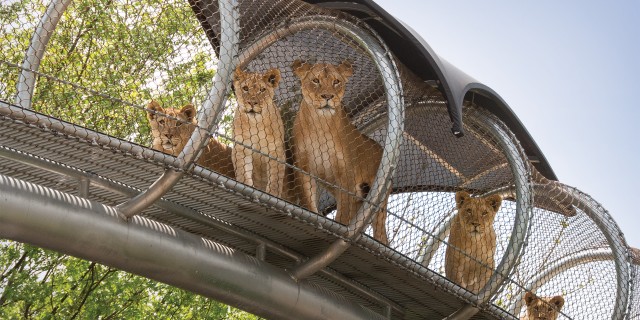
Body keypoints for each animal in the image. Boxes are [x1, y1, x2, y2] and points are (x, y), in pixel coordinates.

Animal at [232, 67, 284, 198]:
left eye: (262, 90)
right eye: (245, 88)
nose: (252, 102)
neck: (256, 123)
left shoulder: (276, 151)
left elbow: (275, 178)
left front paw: (273, 195)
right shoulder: (241, 147)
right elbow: (242, 171)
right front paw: (245, 188)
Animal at [292, 60, 390, 244]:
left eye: (336, 82)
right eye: (315, 80)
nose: (327, 96)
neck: (320, 124)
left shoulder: (345, 173)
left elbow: (343, 216)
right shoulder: (304, 168)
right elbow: (309, 202)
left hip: (378, 203)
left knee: (380, 233)